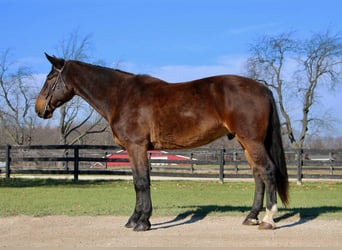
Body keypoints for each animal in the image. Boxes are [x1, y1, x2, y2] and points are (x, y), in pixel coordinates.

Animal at [35, 53, 288, 231]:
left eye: (50, 78)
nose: (39, 108)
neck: (121, 96)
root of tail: (262, 88)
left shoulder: (136, 147)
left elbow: (141, 183)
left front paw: (142, 222)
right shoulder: (136, 150)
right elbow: (138, 182)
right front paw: (135, 219)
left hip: (252, 141)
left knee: (267, 171)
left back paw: (268, 219)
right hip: (247, 144)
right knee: (258, 175)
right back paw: (251, 217)